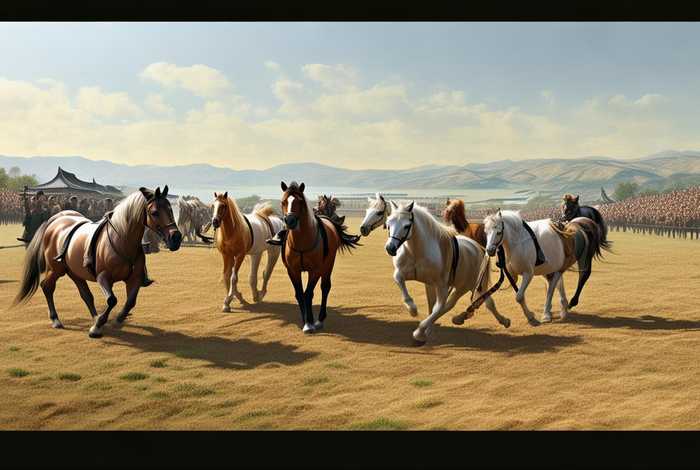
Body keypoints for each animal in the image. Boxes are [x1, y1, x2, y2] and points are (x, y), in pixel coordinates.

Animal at [12, 186, 182, 338]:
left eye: (170, 209)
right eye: (154, 213)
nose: (176, 238)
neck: (122, 240)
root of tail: (54, 221)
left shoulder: (134, 279)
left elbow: (130, 302)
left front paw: (116, 318)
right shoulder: (103, 277)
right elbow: (112, 300)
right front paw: (98, 326)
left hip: (74, 271)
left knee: (86, 295)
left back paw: (94, 318)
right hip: (56, 269)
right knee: (47, 286)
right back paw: (56, 320)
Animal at [279, 181, 361, 333]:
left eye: (300, 201)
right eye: (283, 201)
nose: (290, 220)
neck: (302, 241)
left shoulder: (316, 270)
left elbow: (308, 293)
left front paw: (310, 322)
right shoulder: (292, 270)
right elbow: (299, 294)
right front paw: (304, 320)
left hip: (328, 265)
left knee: (325, 287)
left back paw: (320, 319)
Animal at [385, 200, 509, 344]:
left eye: (406, 226)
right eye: (389, 223)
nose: (390, 248)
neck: (417, 252)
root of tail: (479, 248)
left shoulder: (441, 285)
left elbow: (437, 307)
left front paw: (419, 332)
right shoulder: (411, 277)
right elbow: (400, 281)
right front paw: (413, 310)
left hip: (473, 284)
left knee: (484, 302)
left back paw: (503, 321)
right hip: (462, 286)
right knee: (453, 304)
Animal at [477, 210, 610, 324]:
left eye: (499, 232)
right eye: (486, 232)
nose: (490, 250)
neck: (518, 242)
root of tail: (578, 225)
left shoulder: (528, 274)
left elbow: (519, 296)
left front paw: (533, 317)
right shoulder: (511, 274)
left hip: (581, 259)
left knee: (578, 277)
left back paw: (562, 306)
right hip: (553, 267)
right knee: (557, 283)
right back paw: (562, 308)